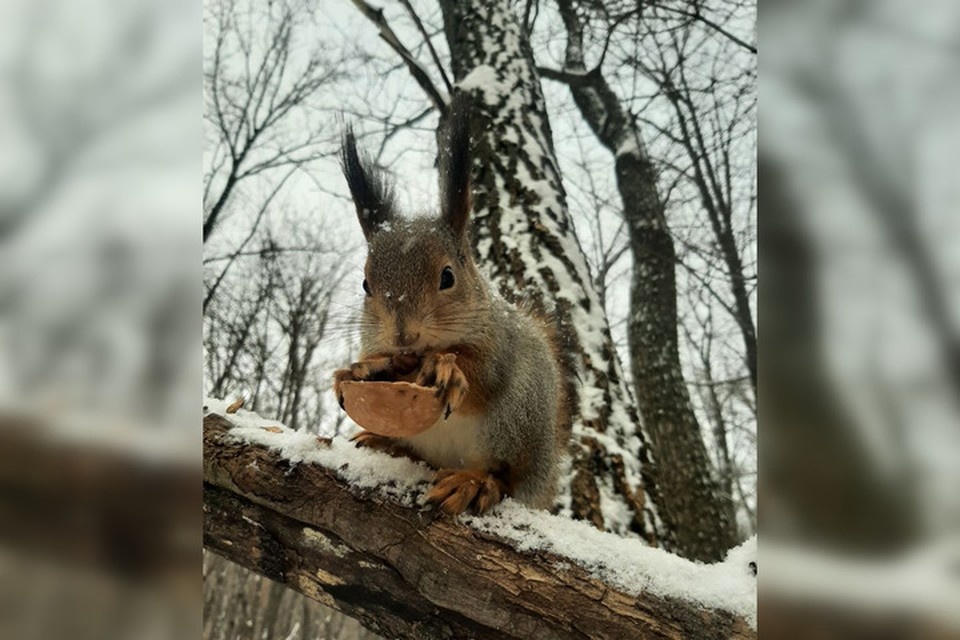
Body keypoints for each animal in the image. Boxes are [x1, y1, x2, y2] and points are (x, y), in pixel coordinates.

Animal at [334, 95, 568, 516]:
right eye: (365, 284)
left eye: (447, 276)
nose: (403, 335)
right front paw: (357, 369)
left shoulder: (499, 347)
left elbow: (482, 374)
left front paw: (447, 368)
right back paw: (382, 440)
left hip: (517, 423)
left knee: (504, 476)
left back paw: (474, 483)